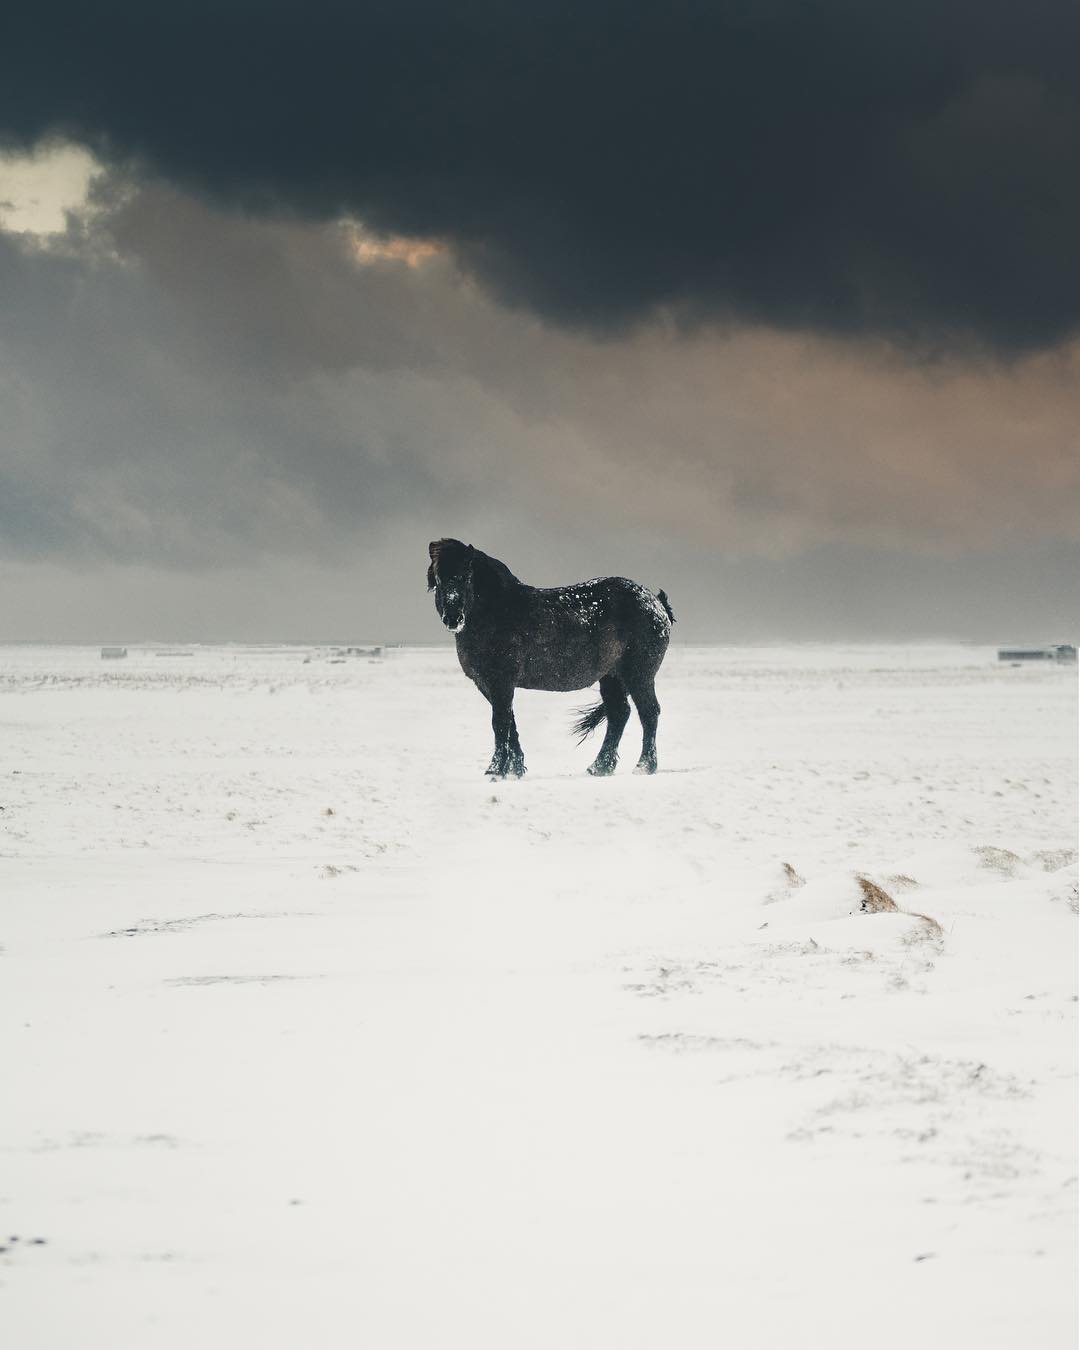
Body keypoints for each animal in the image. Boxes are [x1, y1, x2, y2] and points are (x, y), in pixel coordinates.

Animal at [423, 540, 669, 783]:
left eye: (466, 576)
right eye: (438, 579)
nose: (453, 618)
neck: (497, 612)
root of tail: (657, 604)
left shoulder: (501, 682)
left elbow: (500, 723)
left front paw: (495, 771)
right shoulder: (487, 684)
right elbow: (510, 722)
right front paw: (515, 769)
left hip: (639, 675)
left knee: (648, 713)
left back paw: (644, 766)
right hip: (611, 677)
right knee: (619, 714)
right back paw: (599, 767)